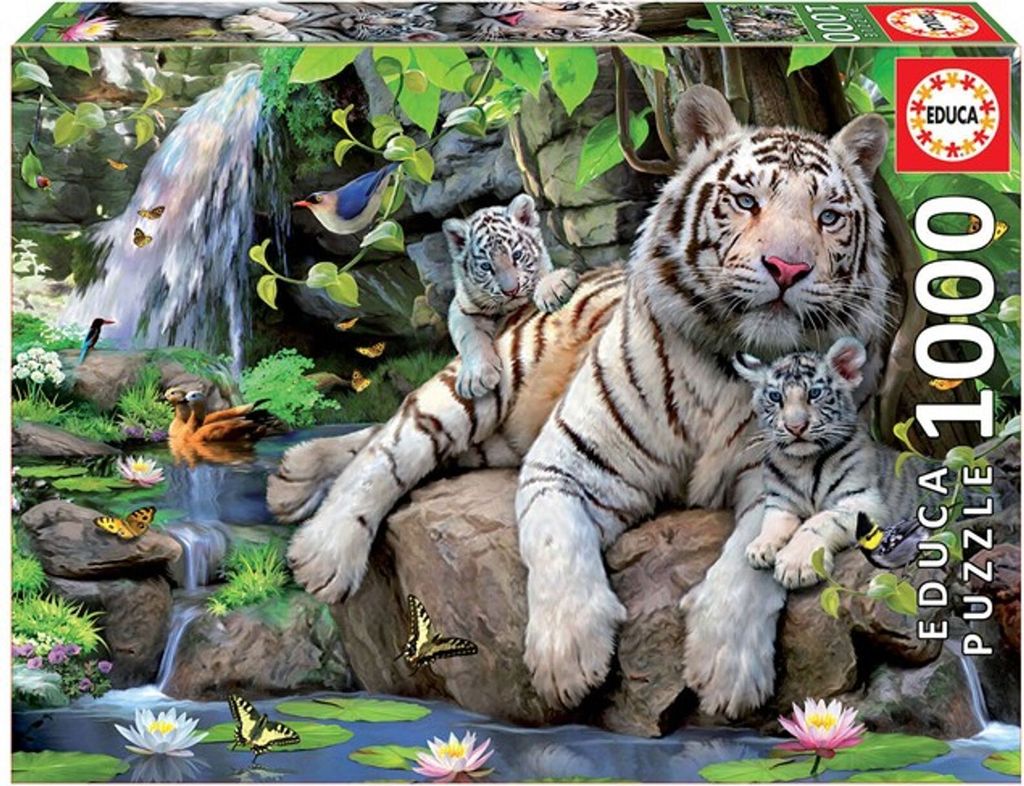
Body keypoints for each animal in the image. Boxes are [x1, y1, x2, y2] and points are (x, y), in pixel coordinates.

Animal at [445, 195, 579, 398]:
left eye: (517, 255)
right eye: (486, 266)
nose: (511, 290)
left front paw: (553, 288)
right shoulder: (461, 308)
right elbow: (470, 336)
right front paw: (476, 377)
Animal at [734, 337, 919, 588]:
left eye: (814, 393)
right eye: (775, 397)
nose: (795, 427)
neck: (802, 464)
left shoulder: (864, 500)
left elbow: (820, 520)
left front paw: (795, 564)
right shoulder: (780, 501)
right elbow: (773, 520)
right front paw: (761, 546)